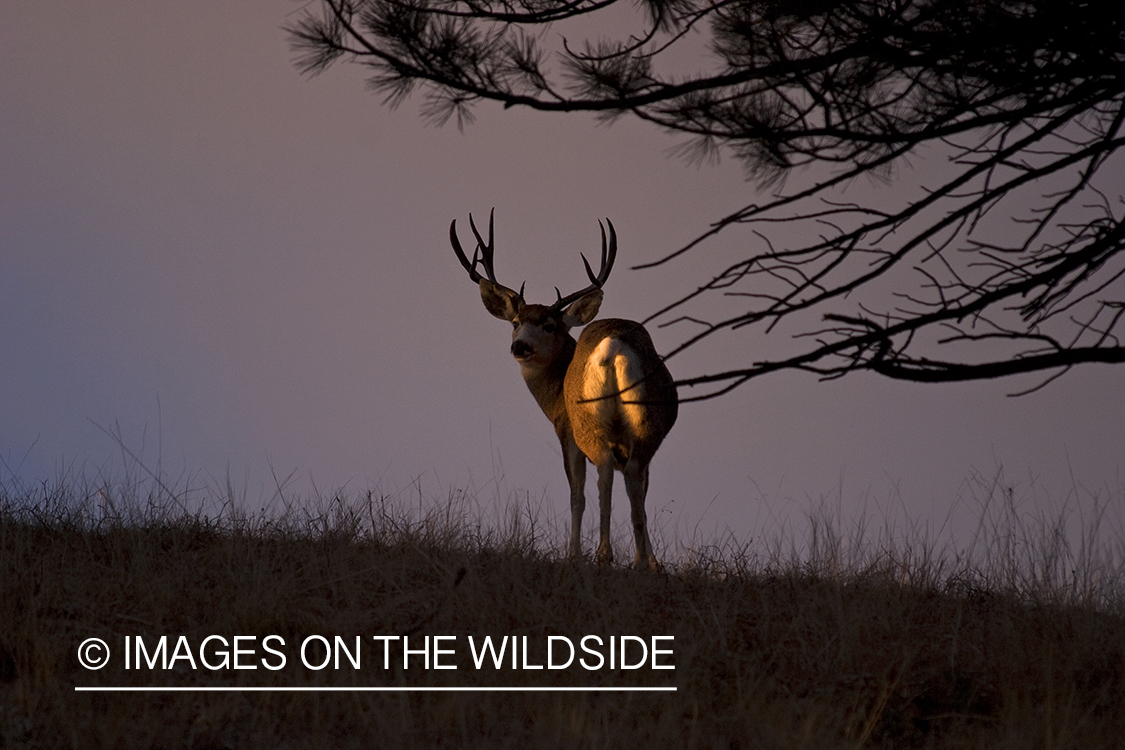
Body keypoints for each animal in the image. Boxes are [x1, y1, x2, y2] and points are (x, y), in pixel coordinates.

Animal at [450, 210, 678, 570]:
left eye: (549, 325)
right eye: (515, 322)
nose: (519, 346)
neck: (554, 395)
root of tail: (613, 346)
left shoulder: (565, 429)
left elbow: (576, 494)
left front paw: (573, 555)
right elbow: (640, 488)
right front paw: (652, 561)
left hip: (588, 422)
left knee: (603, 473)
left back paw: (604, 554)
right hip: (648, 424)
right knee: (633, 474)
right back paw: (642, 562)